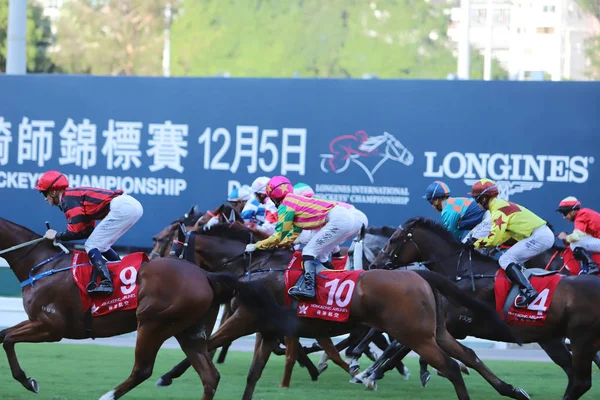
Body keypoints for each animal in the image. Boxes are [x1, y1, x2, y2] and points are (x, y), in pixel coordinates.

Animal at [0, 217, 292, 398]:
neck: (42, 264)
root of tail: (207, 275)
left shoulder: (51, 327)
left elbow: (8, 338)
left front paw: (28, 381)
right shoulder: (39, 323)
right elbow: (4, 336)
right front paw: (27, 380)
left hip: (153, 324)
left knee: (142, 370)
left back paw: (108, 395)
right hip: (189, 331)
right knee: (210, 377)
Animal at [157, 222, 528, 400]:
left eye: (173, 248)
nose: (159, 270)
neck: (260, 269)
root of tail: (419, 274)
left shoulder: (245, 318)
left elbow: (207, 345)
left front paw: (167, 375)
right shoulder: (268, 329)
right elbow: (252, 373)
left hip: (416, 335)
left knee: (449, 366)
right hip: (435, 331)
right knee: (467, 356)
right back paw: (511, 389)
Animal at [372, 216, 600, 400]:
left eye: (393, 240)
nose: (374, 265)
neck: (464, 271)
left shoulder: (455, 323)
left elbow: (403, 345)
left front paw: (376, 372)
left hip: (580, 338)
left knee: (580, 381)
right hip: (552, 340)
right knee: (573, 375)